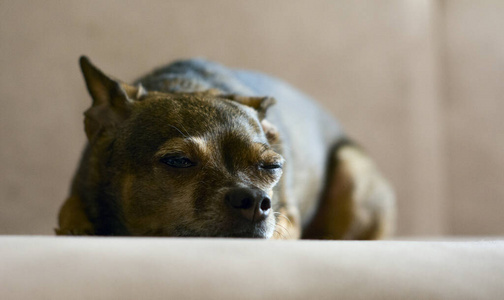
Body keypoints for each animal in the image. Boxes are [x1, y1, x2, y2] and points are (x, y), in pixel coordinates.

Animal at [55, 55, 394, 239]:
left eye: (273, 166)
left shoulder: (286, 219)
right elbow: (69, 208)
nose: (256, 200)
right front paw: (77, 227)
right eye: (177, 161)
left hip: (352, 168)